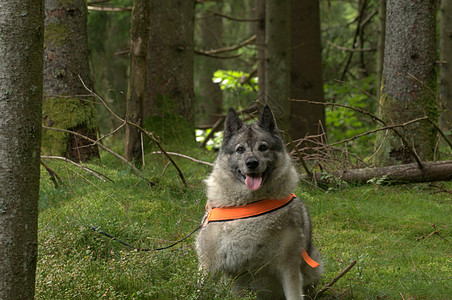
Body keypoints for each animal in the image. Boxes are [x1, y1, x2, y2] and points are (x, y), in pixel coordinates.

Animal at [196, 105, 324, 298]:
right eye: (240, 149)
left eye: (263, 147)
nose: (252, 163)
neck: (249, 205)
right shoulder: (209, 264)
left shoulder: (289, 268)